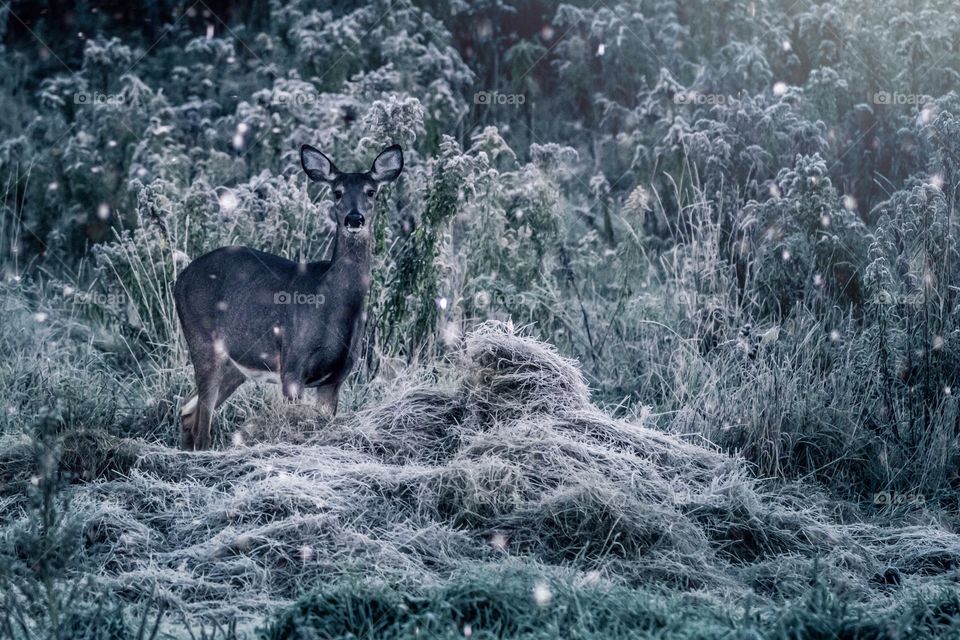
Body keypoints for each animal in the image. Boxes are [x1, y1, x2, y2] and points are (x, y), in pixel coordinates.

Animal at [174, 143, 403, 450]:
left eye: (371, 191)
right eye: (337, 191)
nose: (354, 219)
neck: (333, 304)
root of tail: (180, 278)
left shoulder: (337, 377)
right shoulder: (293, 366)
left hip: (238, 361)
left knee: (188, 409)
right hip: (202, 339)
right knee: (202, 423)